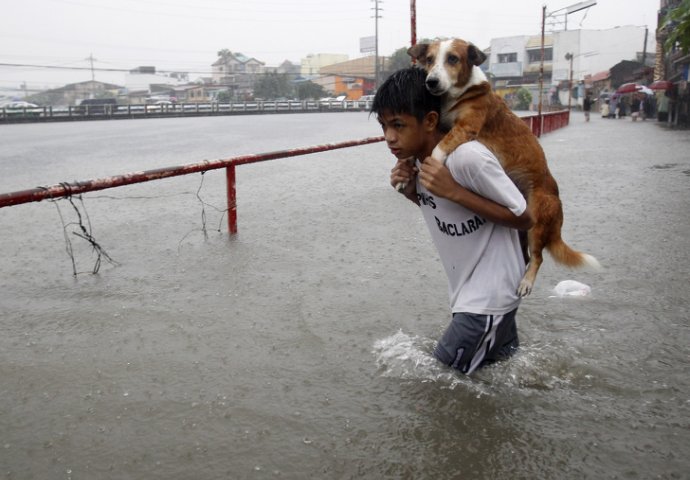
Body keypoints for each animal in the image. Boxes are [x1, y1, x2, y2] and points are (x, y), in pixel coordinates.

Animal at [408, 37, 596, 294]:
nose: (431, 82)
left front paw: (431, 167)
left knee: (538, 257)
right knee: (526, 255)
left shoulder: (465, 127)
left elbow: (438, 149)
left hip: (536, 222)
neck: (459, 94)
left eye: (453, 59)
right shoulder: (446, 125)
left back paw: (526, 282)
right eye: (429, 59)